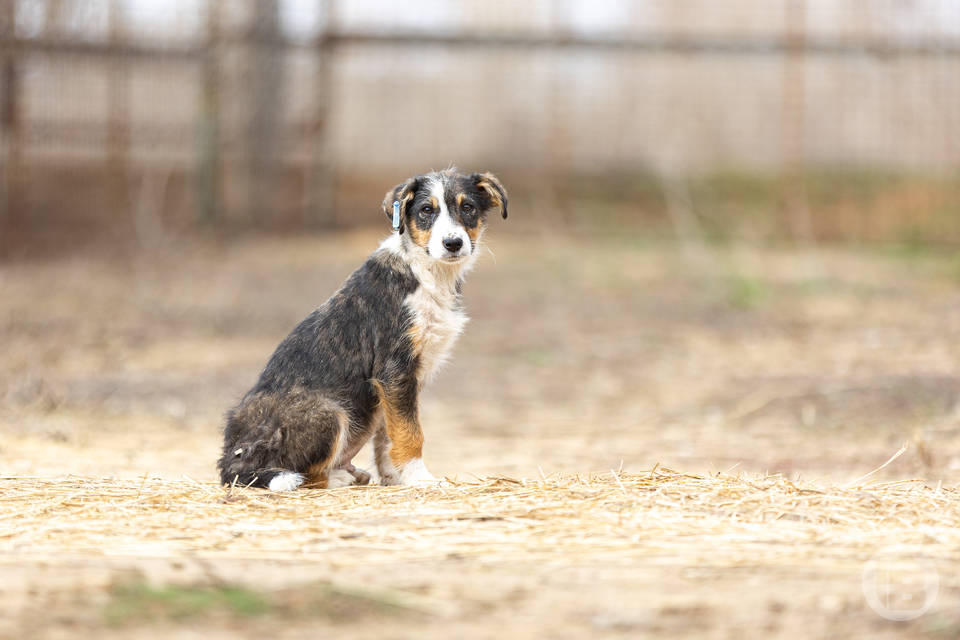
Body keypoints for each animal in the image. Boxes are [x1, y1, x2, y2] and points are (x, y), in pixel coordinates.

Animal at [215, 168, 506, 488]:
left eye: (468, 208)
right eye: (426, 211)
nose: (453, 243)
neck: (427, 273)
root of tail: (233, 458)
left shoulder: (398, 383)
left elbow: (390, 435)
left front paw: (395, 478)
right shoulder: (394, 368)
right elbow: (410, 433)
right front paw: (420, 478)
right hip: (330, 412)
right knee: (306, 475)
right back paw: (337, 478)